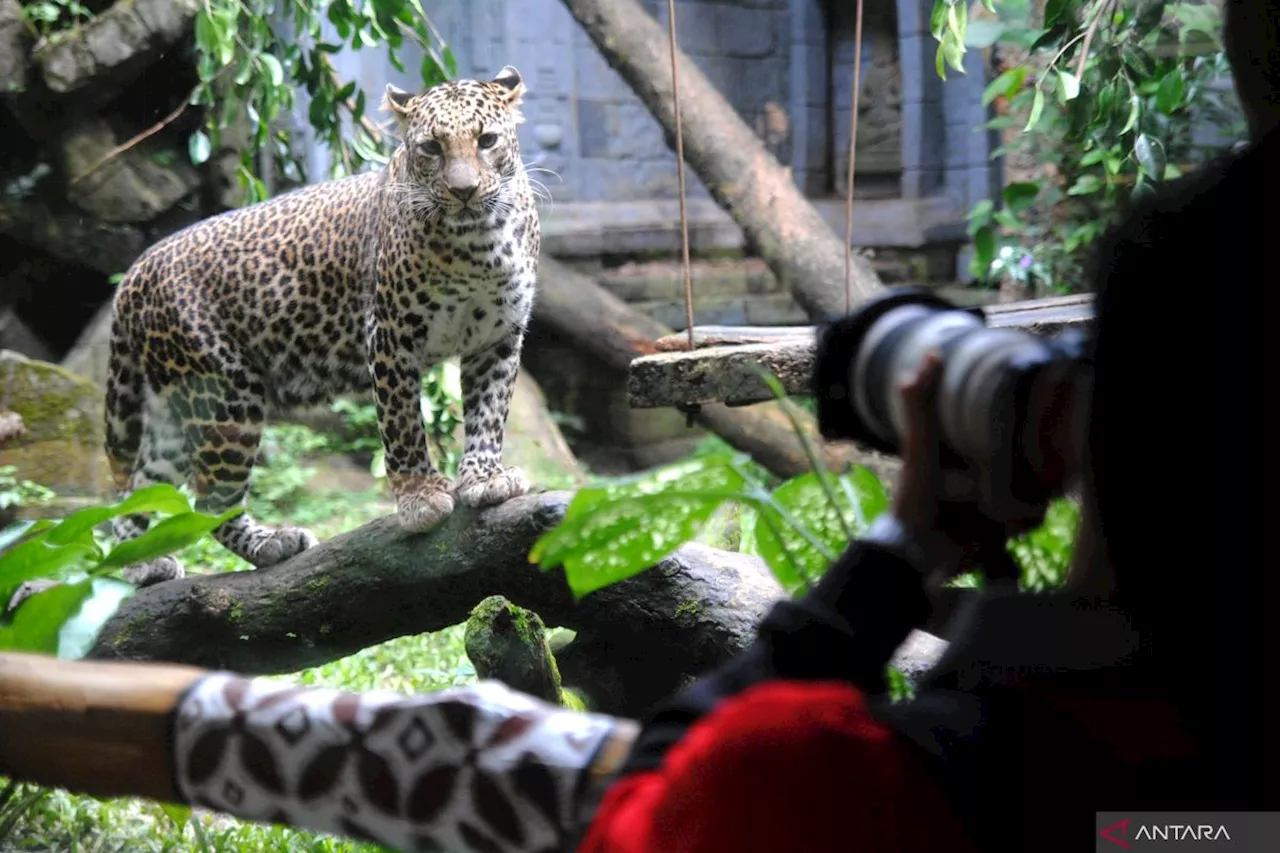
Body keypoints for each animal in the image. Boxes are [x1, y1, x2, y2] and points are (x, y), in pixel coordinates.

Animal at [102, 64, 537, 584]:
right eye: (432, 147)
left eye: (487, 140)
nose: (464, 191)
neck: (479, 244)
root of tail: (135, 272)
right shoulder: (390, 334)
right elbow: (403, 425)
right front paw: (421, 499)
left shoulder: (497, 339)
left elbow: (488, 414)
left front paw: (485, 479)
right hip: (225, 395)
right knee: (208, 499)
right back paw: (268, 544)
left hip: (176, 404)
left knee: (144, 483)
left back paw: (138, 562)